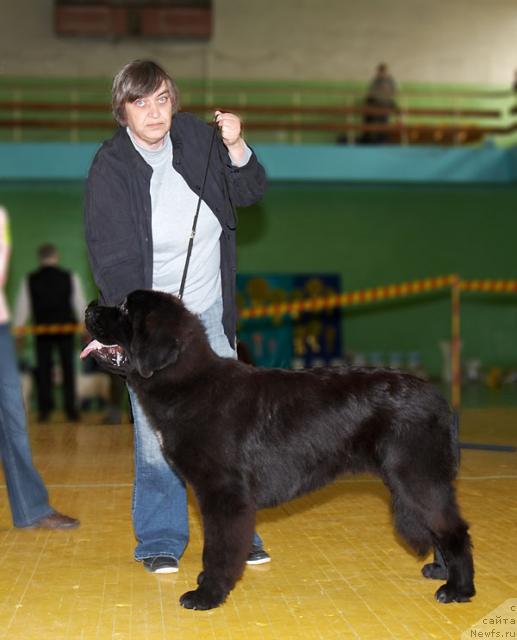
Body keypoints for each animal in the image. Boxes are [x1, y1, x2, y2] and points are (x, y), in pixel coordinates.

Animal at [82, 288, 474, 608]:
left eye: (125, 309)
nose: (88, 308)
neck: (190, 386)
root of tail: (440, 399)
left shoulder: (225, 493)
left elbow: (219, 548)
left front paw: (207, 594)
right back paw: (440, 572)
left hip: (416, 477)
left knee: (454, 530)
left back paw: (458, 589)